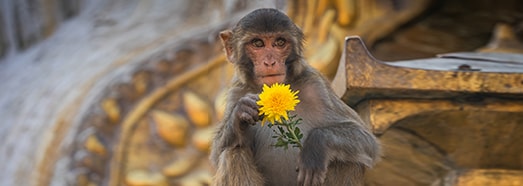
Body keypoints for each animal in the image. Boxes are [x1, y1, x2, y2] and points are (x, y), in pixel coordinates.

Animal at [210, 8, 380, 185]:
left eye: (280, 42)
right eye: (258, 43)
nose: (270, 62)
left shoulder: (316, 86)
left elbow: (366, 140)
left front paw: (316, 147)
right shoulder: (237, 92)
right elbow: (217, 154)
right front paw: (241, 113)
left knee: (348, 161)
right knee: (233, 152)